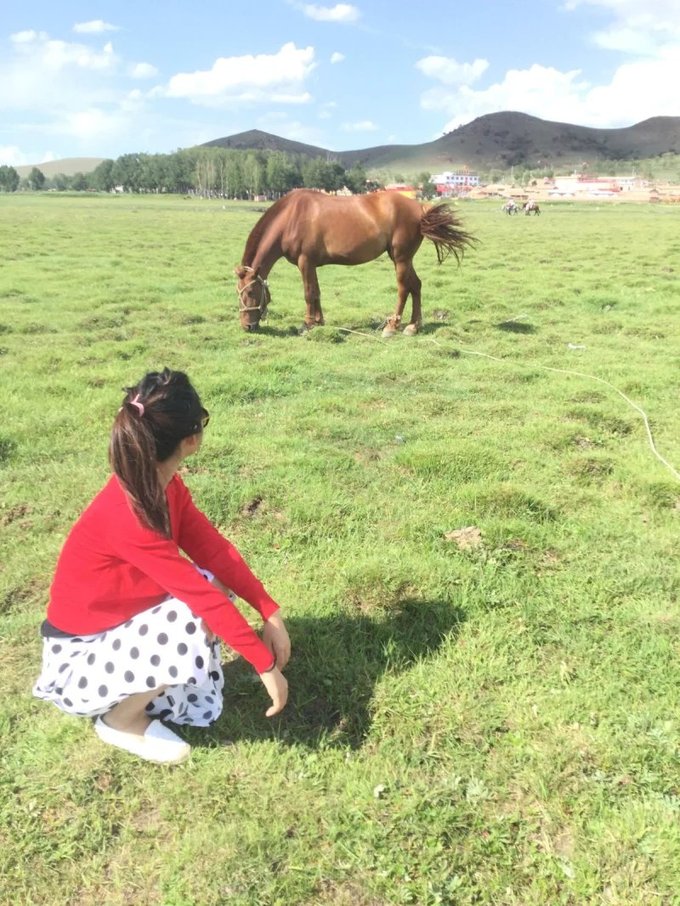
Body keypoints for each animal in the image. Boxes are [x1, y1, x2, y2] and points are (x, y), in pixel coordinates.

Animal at [236, 189, 476, 338]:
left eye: (250, 293)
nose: (247, 326)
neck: (291, 216)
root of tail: (420, 208)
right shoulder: (312, 265)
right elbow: (317, 293)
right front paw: (319, 322)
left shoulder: (305, 262)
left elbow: (309, 293)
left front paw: (307, 325)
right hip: (405, 259)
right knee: (416, 285)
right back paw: (413, 326)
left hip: (400, 259)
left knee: (403, 288)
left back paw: (392, 326)